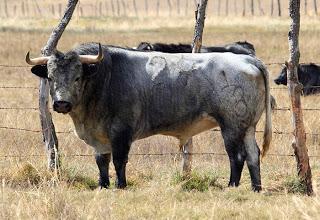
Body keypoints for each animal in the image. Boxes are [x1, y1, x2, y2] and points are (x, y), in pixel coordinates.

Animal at [27, 42, 272, 191]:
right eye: (50, 77)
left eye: (77, 77)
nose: (61, 103)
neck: (104, 79)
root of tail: (248, 60)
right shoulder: (99, 137)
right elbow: (101, 161)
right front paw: (103, 185)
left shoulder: (121, 132)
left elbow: (119, 160)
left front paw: (121, 186)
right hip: (248, 127)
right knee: (253, 154)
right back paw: (256, 188)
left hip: (231, 126)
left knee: (237, 156)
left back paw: (232, 186)